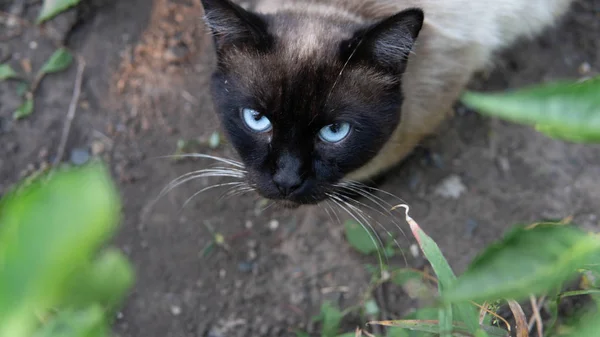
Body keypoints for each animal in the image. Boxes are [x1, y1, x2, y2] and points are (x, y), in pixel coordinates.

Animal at [197, 0, 572, 206]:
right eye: (256, 119)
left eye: (335, 131)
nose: (287, 182)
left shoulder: (446, 79)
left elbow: (392, 151)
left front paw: (357, 188)